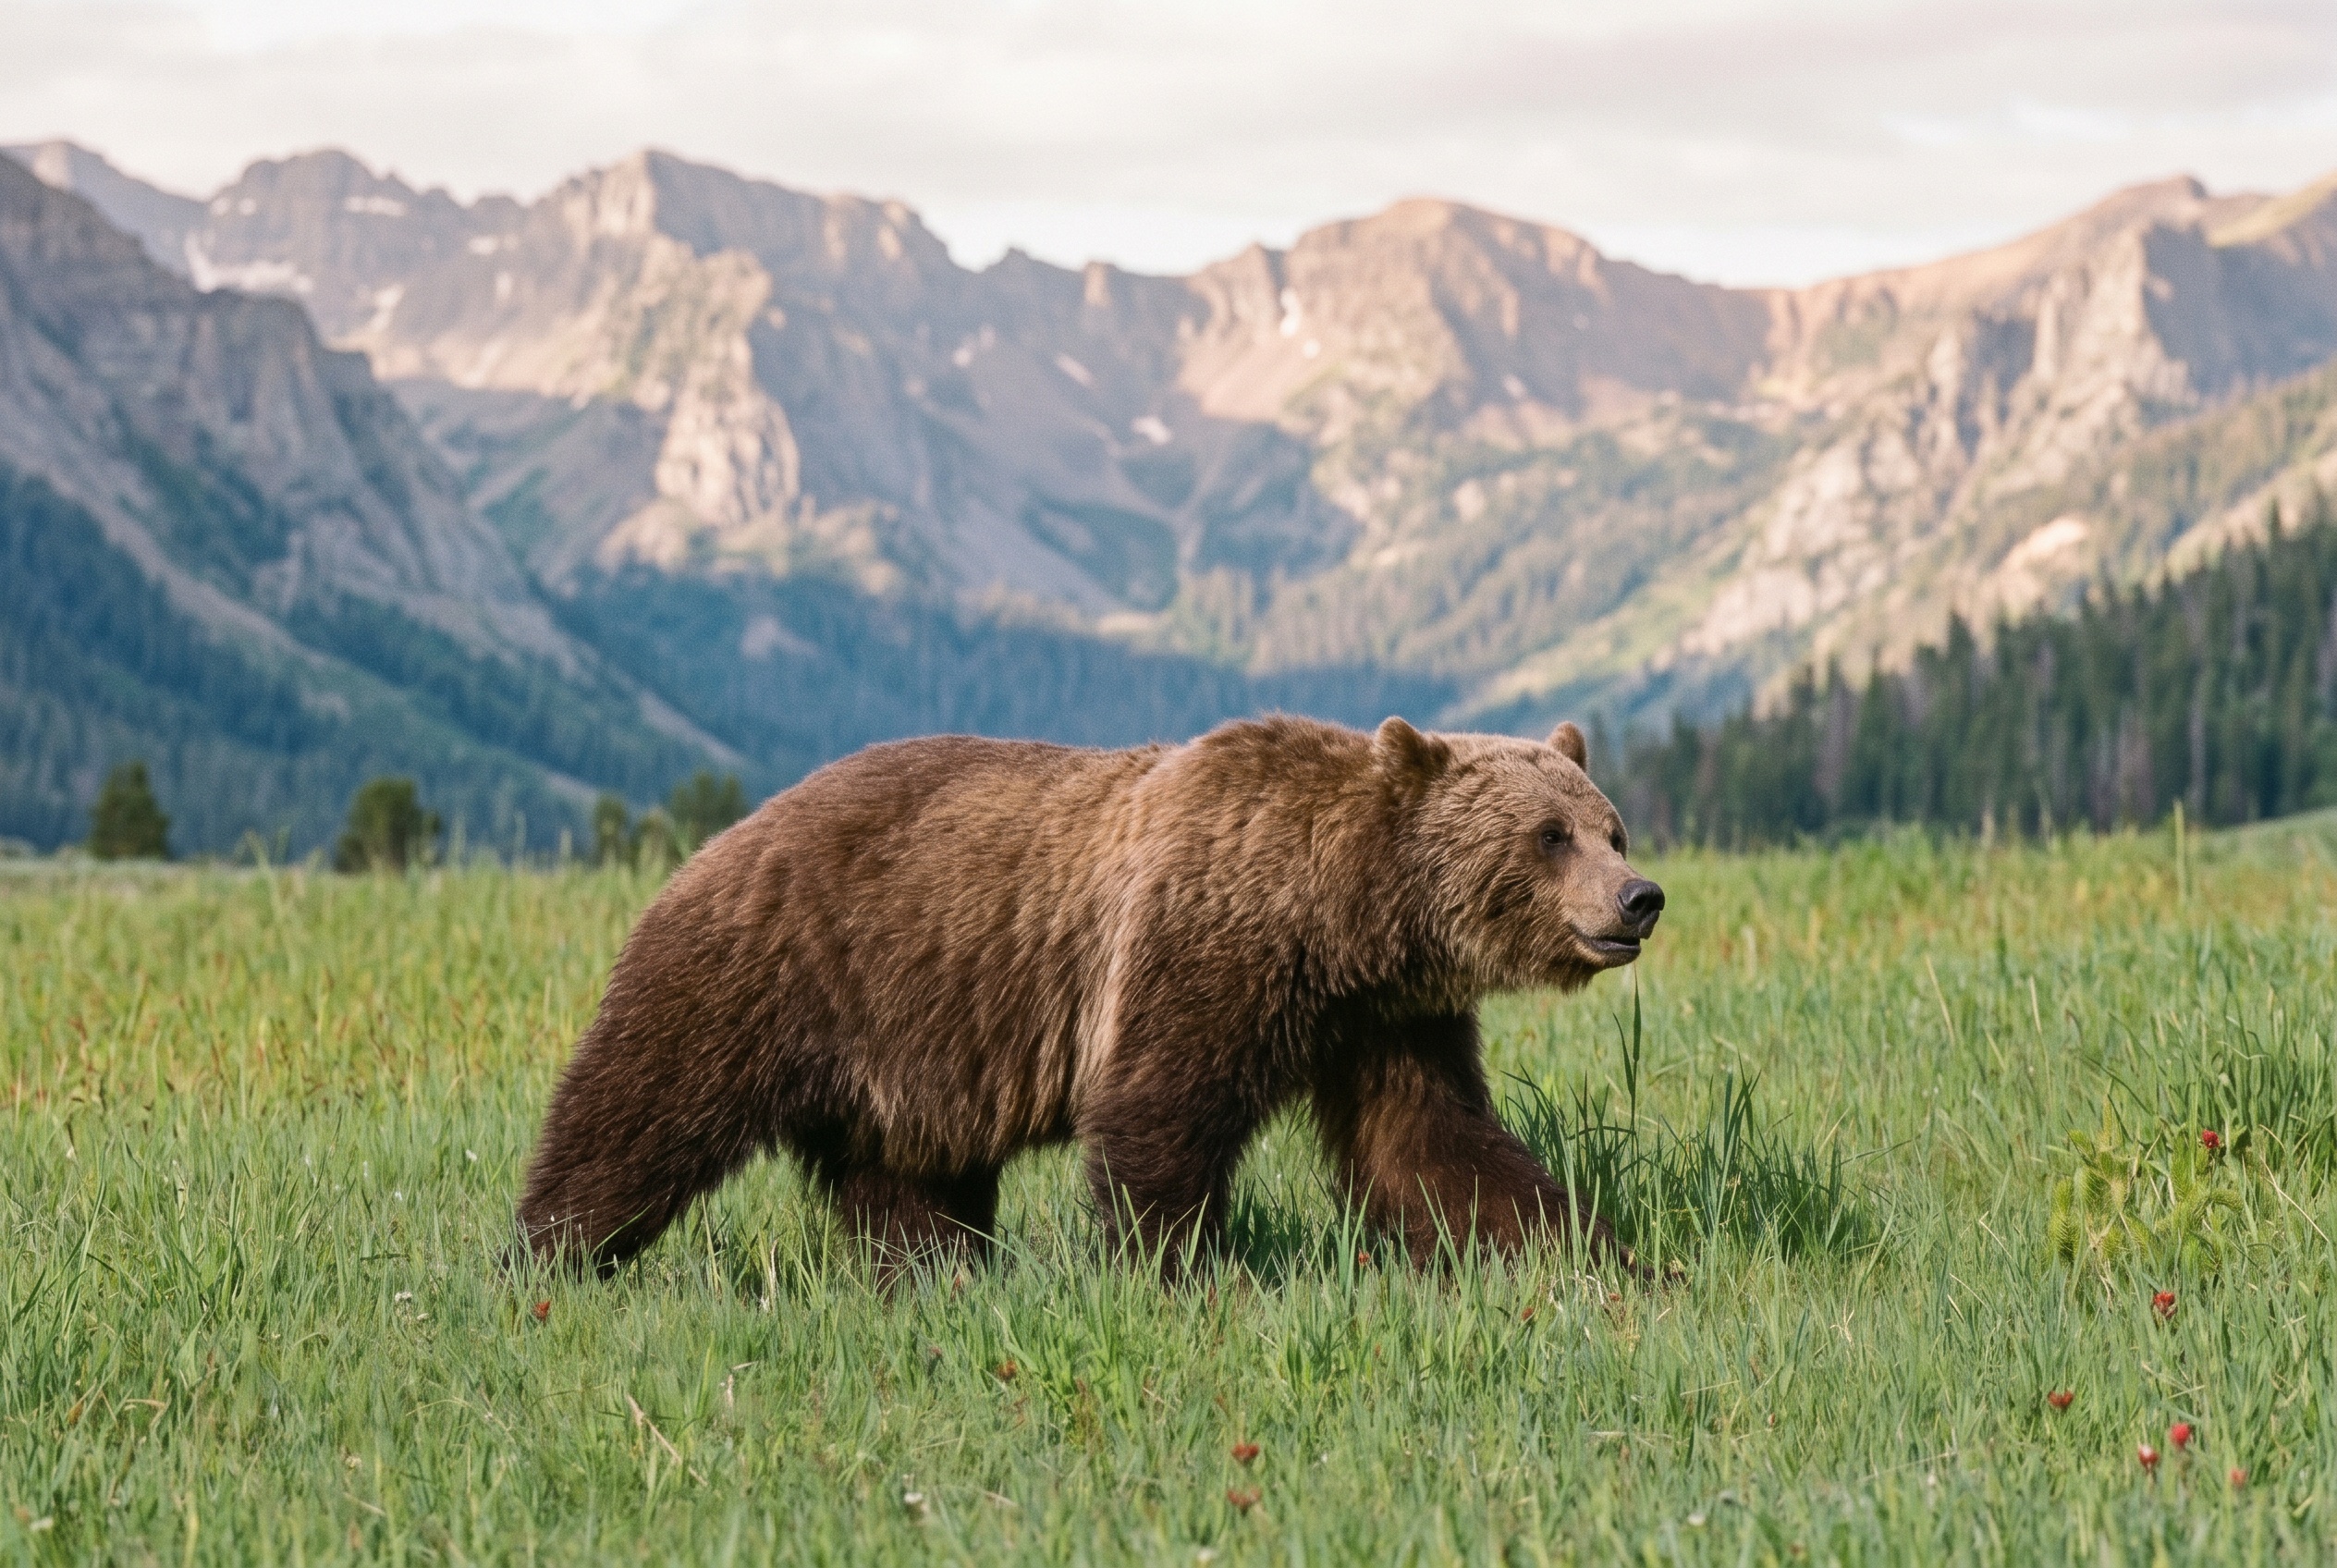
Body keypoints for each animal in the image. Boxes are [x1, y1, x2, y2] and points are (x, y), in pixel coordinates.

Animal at [515, 714, 1664, 1277]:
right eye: (1547, 834)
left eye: (1610, 826)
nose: (1638, 898)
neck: (1339, 918)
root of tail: (723, 835)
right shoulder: (1201, 943)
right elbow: (1159, 1115)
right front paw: (1176, 1269)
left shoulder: (1384, 1019)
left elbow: (1435, 1146)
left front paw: (1597, 1259)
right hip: (769, 970)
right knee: (636, 1114)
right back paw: (546, 1257)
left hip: (906, 1050)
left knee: (906, 1181)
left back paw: (938, 1275)